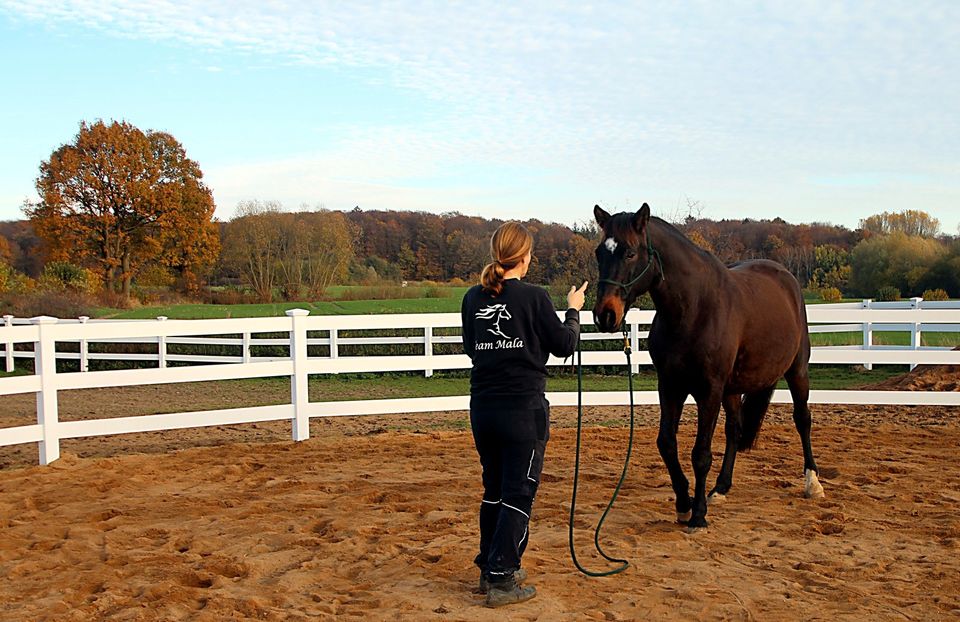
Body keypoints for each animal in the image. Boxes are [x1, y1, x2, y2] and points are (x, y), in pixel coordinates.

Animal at [592, 206, 824, 532]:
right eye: (600, 252)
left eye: (629, 252)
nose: (605, 315)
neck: (693, 309)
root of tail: (784, 277)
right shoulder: (670, 386)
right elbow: (666, 443)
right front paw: (683, 504)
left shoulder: (708, 390)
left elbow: (700, 453)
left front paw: (698, 514)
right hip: (733, 389)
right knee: (734, 430)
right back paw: (721, 489)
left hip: (797, 371)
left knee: (802, 419)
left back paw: (812, 483)